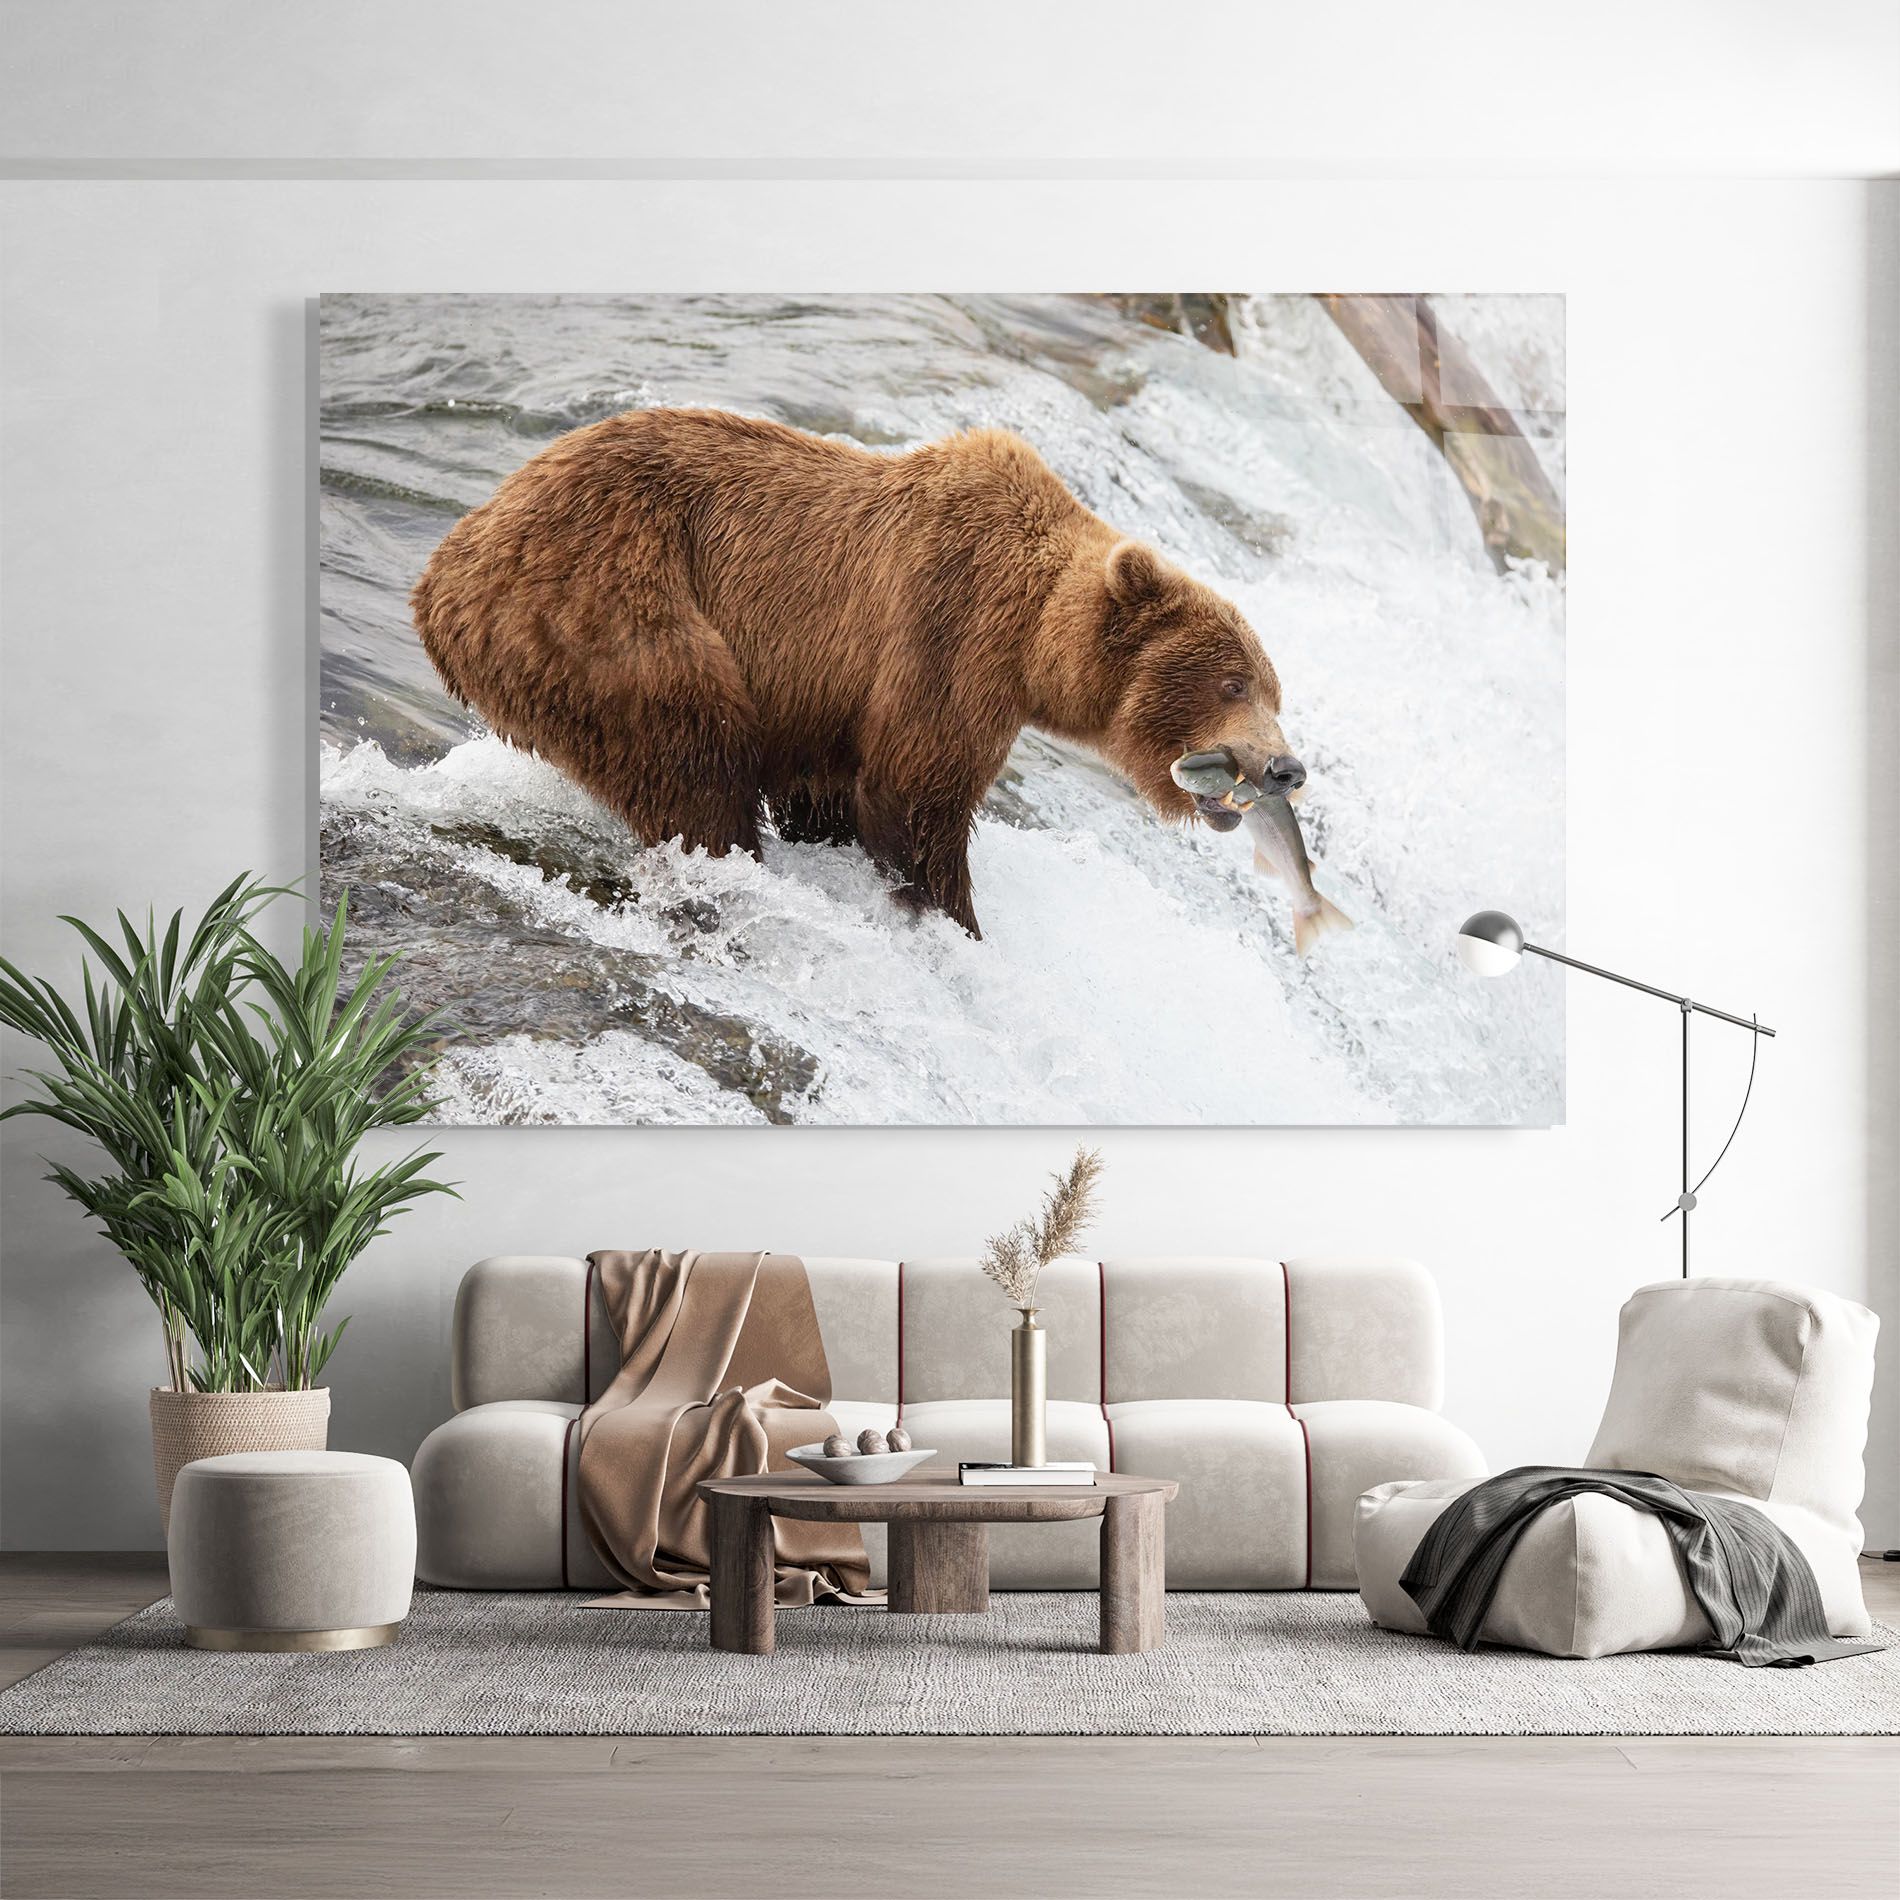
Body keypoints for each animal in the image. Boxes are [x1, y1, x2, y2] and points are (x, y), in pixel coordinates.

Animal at [411, 408, 1306, 938]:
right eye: (1233, 683)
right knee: (691, 756)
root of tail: (444, 570)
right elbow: (915, 795)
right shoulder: (949, 633)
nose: (1285, 768)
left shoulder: (827, 701)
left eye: (1274, 690)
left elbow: (832, 791)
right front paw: (954, 919)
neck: (1033, 642)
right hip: (609, 605)